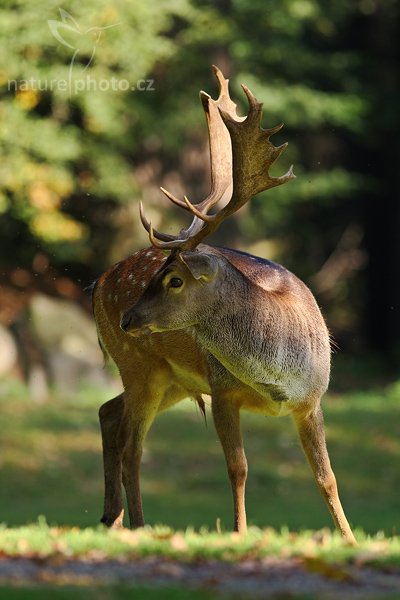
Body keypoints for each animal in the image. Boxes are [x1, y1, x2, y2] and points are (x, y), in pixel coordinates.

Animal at [94, 65, 356, 544]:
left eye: (175, 279)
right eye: (161, 274)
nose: (126, 318)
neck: (278, 379)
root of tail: (97, 283)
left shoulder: (313, 401)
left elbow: (326, 477)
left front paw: (347, 539)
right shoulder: (221, 390)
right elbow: (238, 467)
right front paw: (238, 534)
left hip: (172, 380)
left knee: (109, 414)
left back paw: (112, 518)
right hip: (140, 366)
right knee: (131, 443)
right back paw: (138, 524)